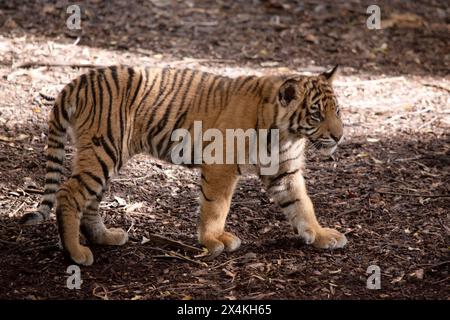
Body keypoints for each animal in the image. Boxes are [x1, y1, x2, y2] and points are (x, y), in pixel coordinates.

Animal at [19, 64, 346, 264]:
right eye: (316, 114)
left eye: (337, 111)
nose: (340, 136)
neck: (286, 135)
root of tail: (77, 82)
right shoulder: (221, 165)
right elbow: (216, 207)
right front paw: (213, 240)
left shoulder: (285, 171)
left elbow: (302, 205)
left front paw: (320, 235)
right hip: (103, 150)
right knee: (69, 194)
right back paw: (76, 253)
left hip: (104, 156)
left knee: (89, 200)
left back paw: (106, 237)